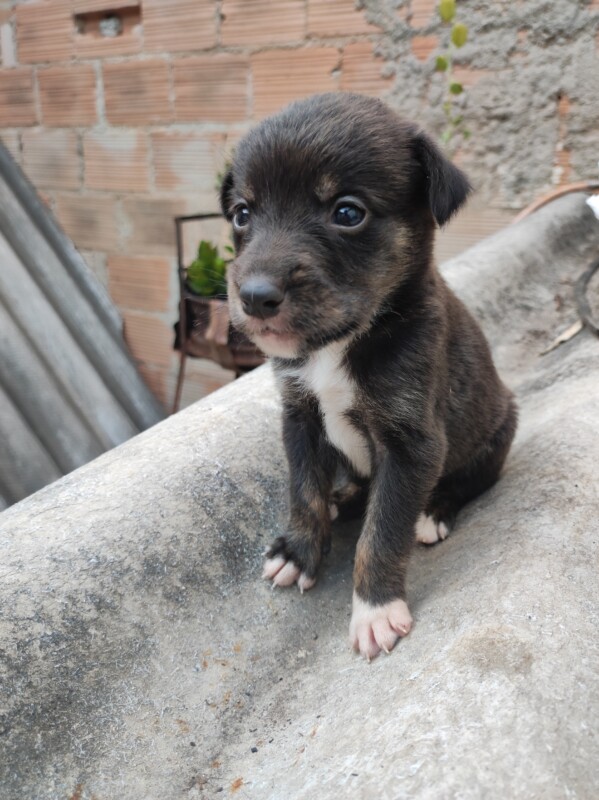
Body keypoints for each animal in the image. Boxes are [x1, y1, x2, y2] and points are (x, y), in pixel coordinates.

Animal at [218, 92, 516, 664]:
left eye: (347, 212)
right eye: (243, 213)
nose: (255, 296)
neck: (340, 343)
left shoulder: (412, 443)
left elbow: (382, 532)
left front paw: (375, 610)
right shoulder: (300, 415)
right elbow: (304, 489)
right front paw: (301, 551)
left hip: (498, 428)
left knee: (467, 482)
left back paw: (432, 513)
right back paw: (348, 500)